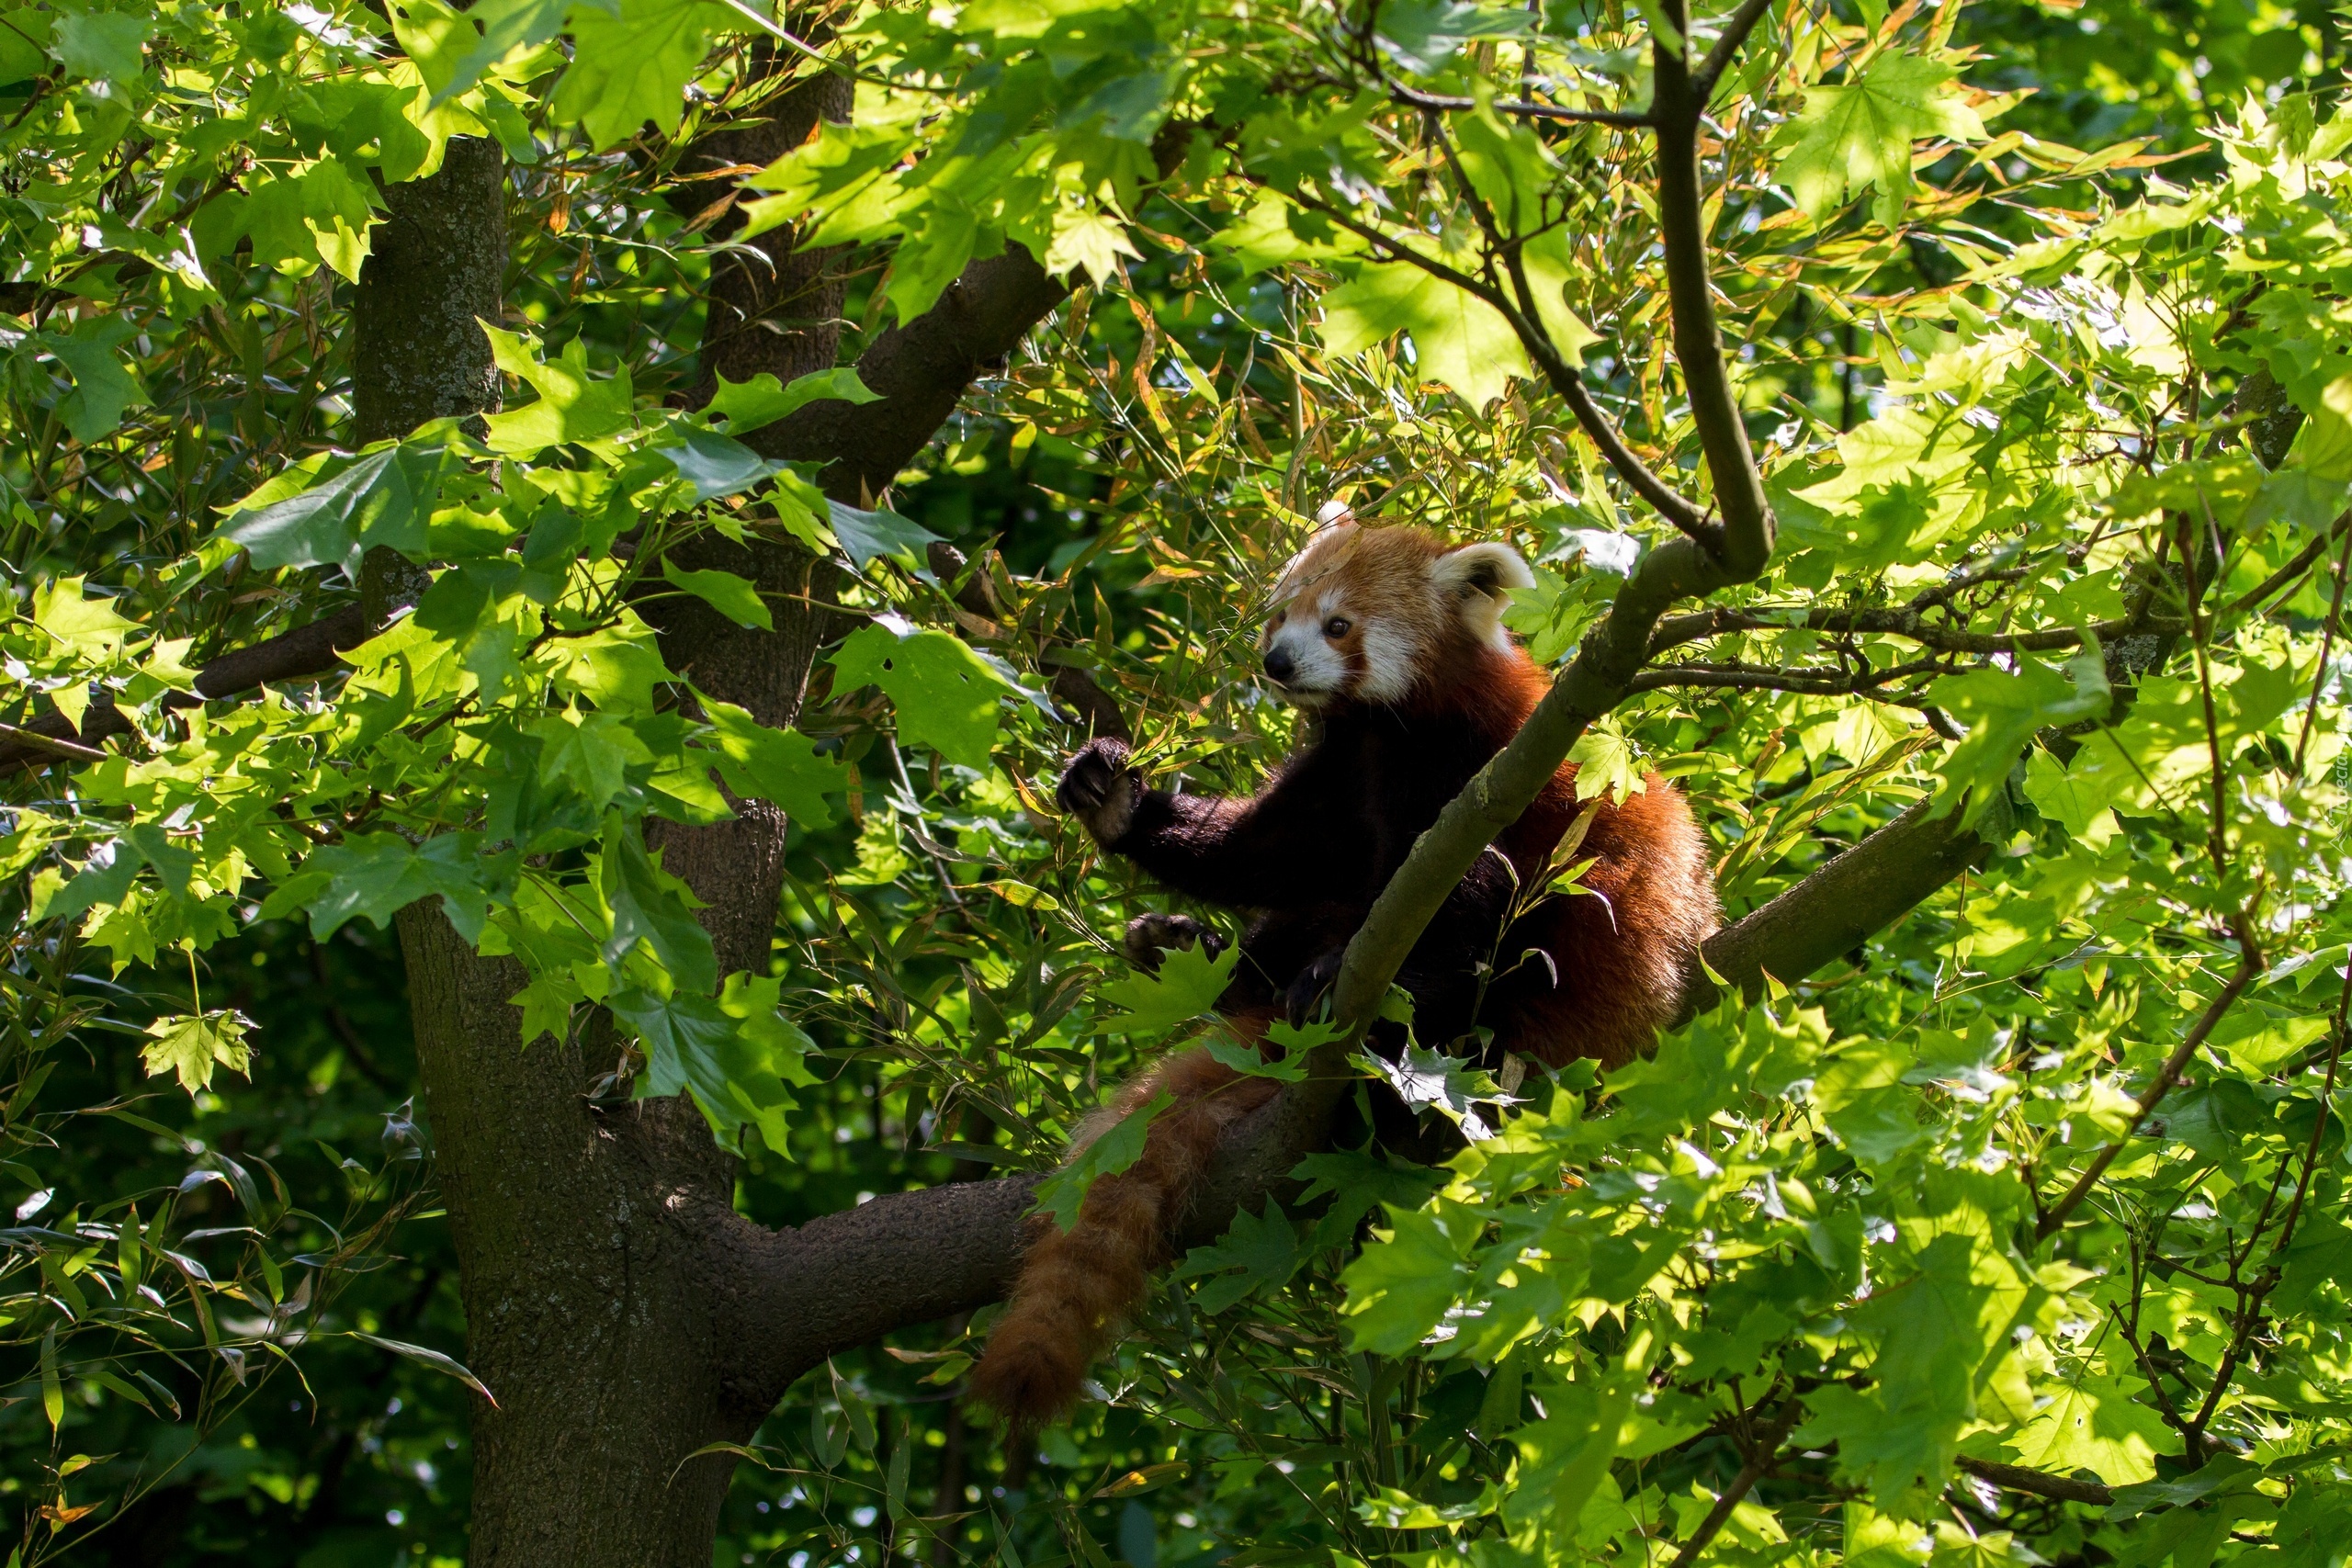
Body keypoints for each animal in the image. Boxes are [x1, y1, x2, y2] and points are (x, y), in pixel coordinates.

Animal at [964, 522, 1721, 1429]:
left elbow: (1472, 904)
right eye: (1282, 615)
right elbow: (1266, 848)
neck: (1390, 730)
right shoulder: (1340, 772)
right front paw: (1116, 800)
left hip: (1577, 972)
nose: (1277, 661)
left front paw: (1353, 971)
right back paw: (1198, 954)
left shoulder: (1492, 780)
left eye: (1338, 626)